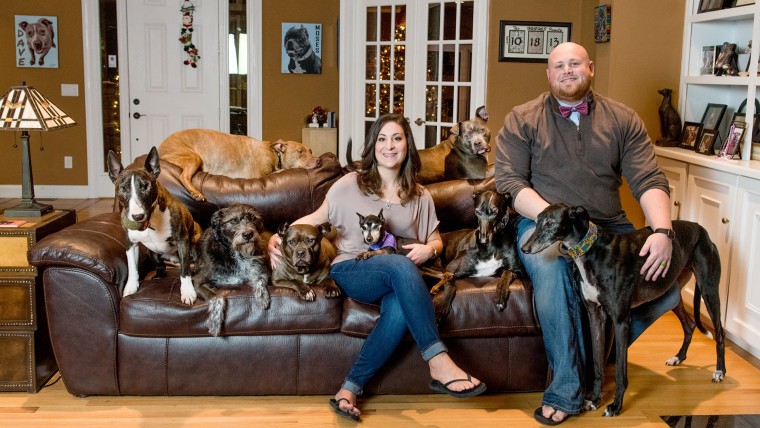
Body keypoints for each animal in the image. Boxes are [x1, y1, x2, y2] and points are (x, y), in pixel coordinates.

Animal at [108, 147, 202, 304]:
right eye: (123, 188)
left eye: (146, 186)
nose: (137, 216)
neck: (149, 222)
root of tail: (173, 259)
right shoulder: (130, 243)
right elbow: (132, 267)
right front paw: (131, 287)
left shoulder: (182, 240)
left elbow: (185, 270)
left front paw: (188, 292)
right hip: (152, 253)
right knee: (161, 266)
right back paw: (157, 276)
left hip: (193, 247)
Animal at [159, 129, 322, 202]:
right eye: (300, 152)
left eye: (311, 151)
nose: (319, 160)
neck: (275, 155)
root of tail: (160, 148)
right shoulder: (260, 175)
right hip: (194, 157)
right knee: (183, 176)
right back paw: (195, 192)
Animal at [194, 204, 272, 338]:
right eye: (233, 220)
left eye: (252, 218)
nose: (248, 234)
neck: (236, 252)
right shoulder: (198, 281)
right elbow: (217, 297)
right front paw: (215, 322)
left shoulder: (261, 269)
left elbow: (260, 279)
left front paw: (262, 297)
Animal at [524, 206, 724, 416]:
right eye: (537, 221)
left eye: (550, 223)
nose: (524, 249)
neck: (592, 252)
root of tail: (701, 230)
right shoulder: (595, 317)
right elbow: (597, 364)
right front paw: (594, 400)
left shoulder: (620, 320)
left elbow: (620, 371)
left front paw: (615, 406)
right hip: (674, 293)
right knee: (690, 325)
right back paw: (678, 357)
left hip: (709, 290)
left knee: (720, 333)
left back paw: (720, 372)